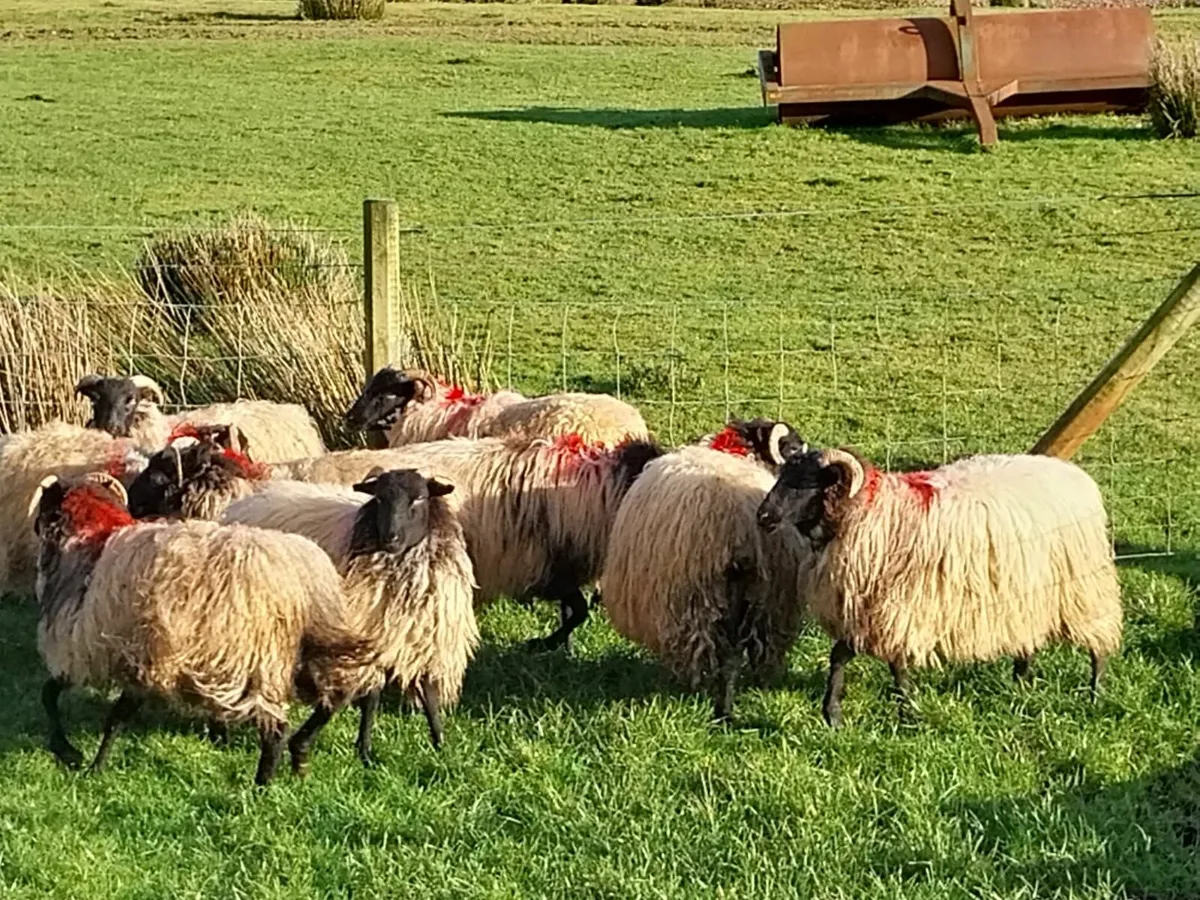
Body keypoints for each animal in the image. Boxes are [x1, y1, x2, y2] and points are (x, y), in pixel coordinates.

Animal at [29, 472, 370, 785]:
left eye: (46, 505)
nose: (32, 528)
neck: (89, 541)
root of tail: (302, 580)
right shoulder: (141, 658)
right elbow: (117, 716)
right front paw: (90, 763)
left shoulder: (83, 650)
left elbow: (50, 695)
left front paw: (72, 755)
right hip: (294, 658)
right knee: (330, 699)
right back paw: (302, 763)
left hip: (252, 660)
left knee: (276, 728)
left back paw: (262, 786)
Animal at [222, 469, 479, 767]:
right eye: (379, 498)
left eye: (419, 498)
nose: (390, 538)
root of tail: (242, 504)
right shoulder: (363, 635)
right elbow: (366, 698)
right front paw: (359, 751)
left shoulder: (420, 640)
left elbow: (430, 697)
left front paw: (440, 746)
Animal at [599, 419, 811, 720]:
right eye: (793, 449)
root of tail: (739, 528)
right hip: (765, 601)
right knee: (738, 655)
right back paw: (726, 710)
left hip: (695, 600)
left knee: (719, 652)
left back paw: (710, 699)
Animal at [756, 448, 1124, 727]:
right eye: (782, 476)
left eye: (804, 483)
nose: (763, 517)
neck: (870, 515)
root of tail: (1076, 476)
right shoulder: (865, 611)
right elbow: (839, 657)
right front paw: (832, 714)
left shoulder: (897, 609)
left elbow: (896, 665)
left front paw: (908, 712)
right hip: (1028, 590)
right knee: (1026, 634)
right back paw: (1021, 683)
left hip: (1084, 587)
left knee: (1098, 641)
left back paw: (1095, 693)